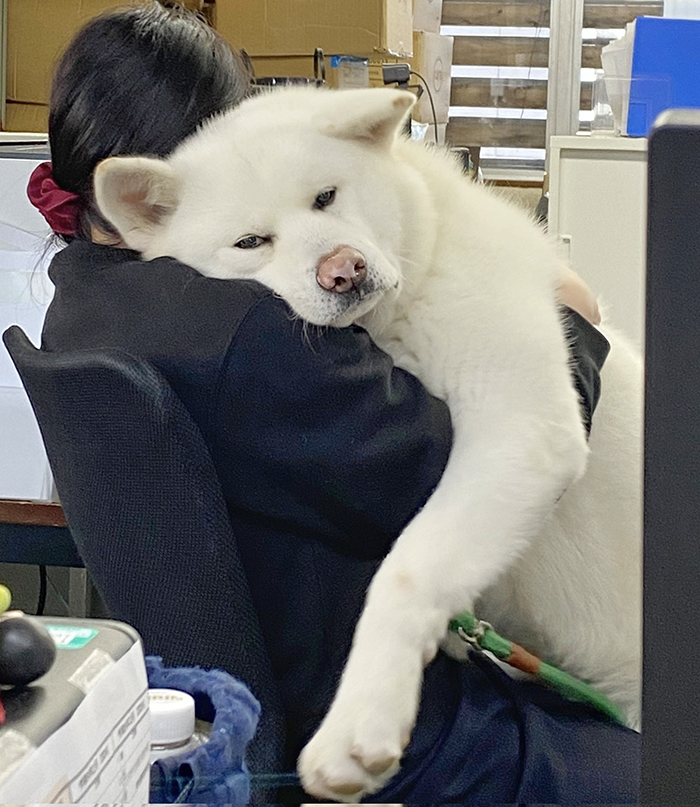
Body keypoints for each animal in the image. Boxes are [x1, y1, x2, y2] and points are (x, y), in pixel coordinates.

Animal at [95, 85, 644, 800]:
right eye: (251, 242)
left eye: (326, 197)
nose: (343, 270)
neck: (403, 306)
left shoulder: (524, 427)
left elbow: (405, 571)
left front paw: (363, 720)